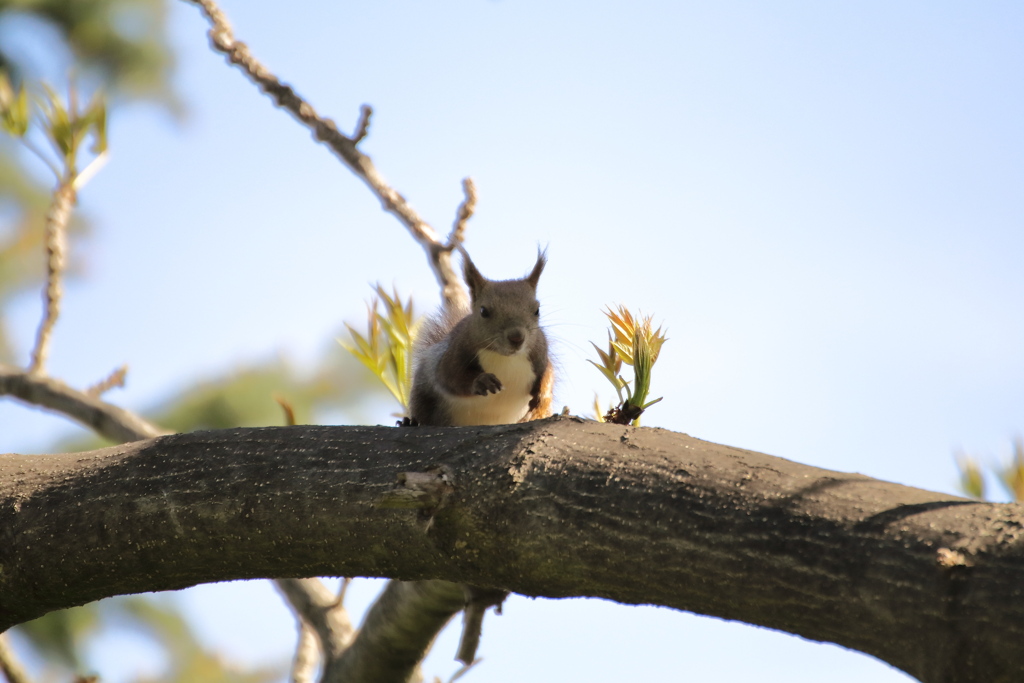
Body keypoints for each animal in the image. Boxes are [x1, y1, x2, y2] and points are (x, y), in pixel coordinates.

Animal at [407, 248, 552, 423]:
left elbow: (548, 375)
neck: (505, 358)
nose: (516, 338)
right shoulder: (455, 352)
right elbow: (449, 376)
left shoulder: (540, 354)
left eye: (537, 310)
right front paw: (481, 381)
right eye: (483, 311)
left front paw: (542, 398)